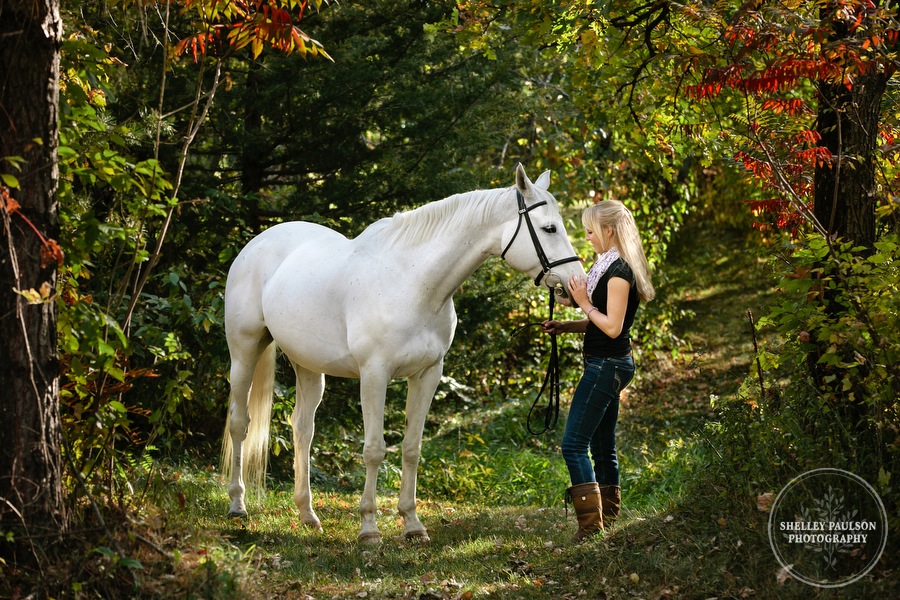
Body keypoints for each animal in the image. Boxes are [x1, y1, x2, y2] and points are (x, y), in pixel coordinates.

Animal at [221, 165, 580, 544]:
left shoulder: (428, 374)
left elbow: (411, 448)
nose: (575, 285)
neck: (413, 283)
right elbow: (374, 450)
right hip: (244, 351)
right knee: (239, 423)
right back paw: (237, 506)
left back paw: (307, 514)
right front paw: (369, 528)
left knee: (303, 430)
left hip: (307, 366)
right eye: (549, 228)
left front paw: (412, 524)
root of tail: (257, 243)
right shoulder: (374, 375)